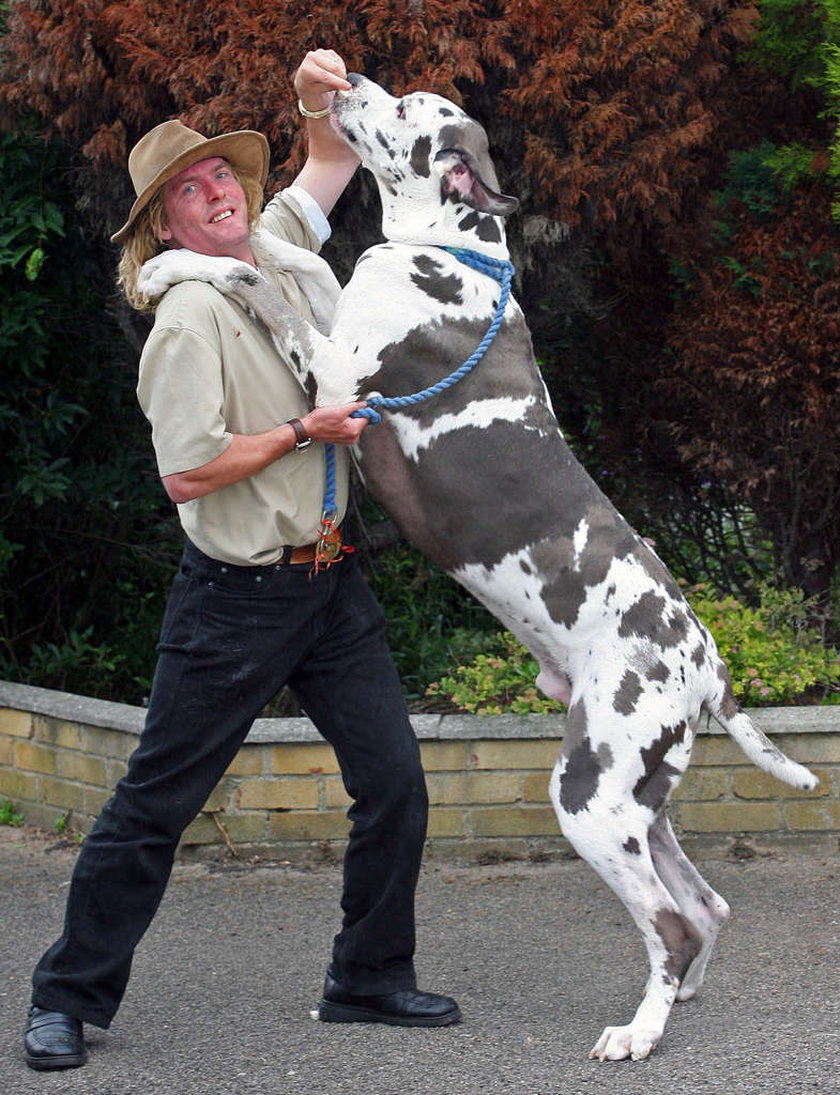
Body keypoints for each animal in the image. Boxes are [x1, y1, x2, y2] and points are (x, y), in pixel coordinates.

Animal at [139, 75, 823, 1059]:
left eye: (405, 108)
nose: (348, 80)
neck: (447, 250)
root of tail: (708, 662)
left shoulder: (335, 383)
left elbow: (256, 282)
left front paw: (168, 272)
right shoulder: (339, 307)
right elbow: (286, 250)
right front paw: (188, 259)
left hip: (590, 791)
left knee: (673, 918)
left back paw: (636, 1033)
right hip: (641, 797)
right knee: (705, 904)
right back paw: (675, 998)